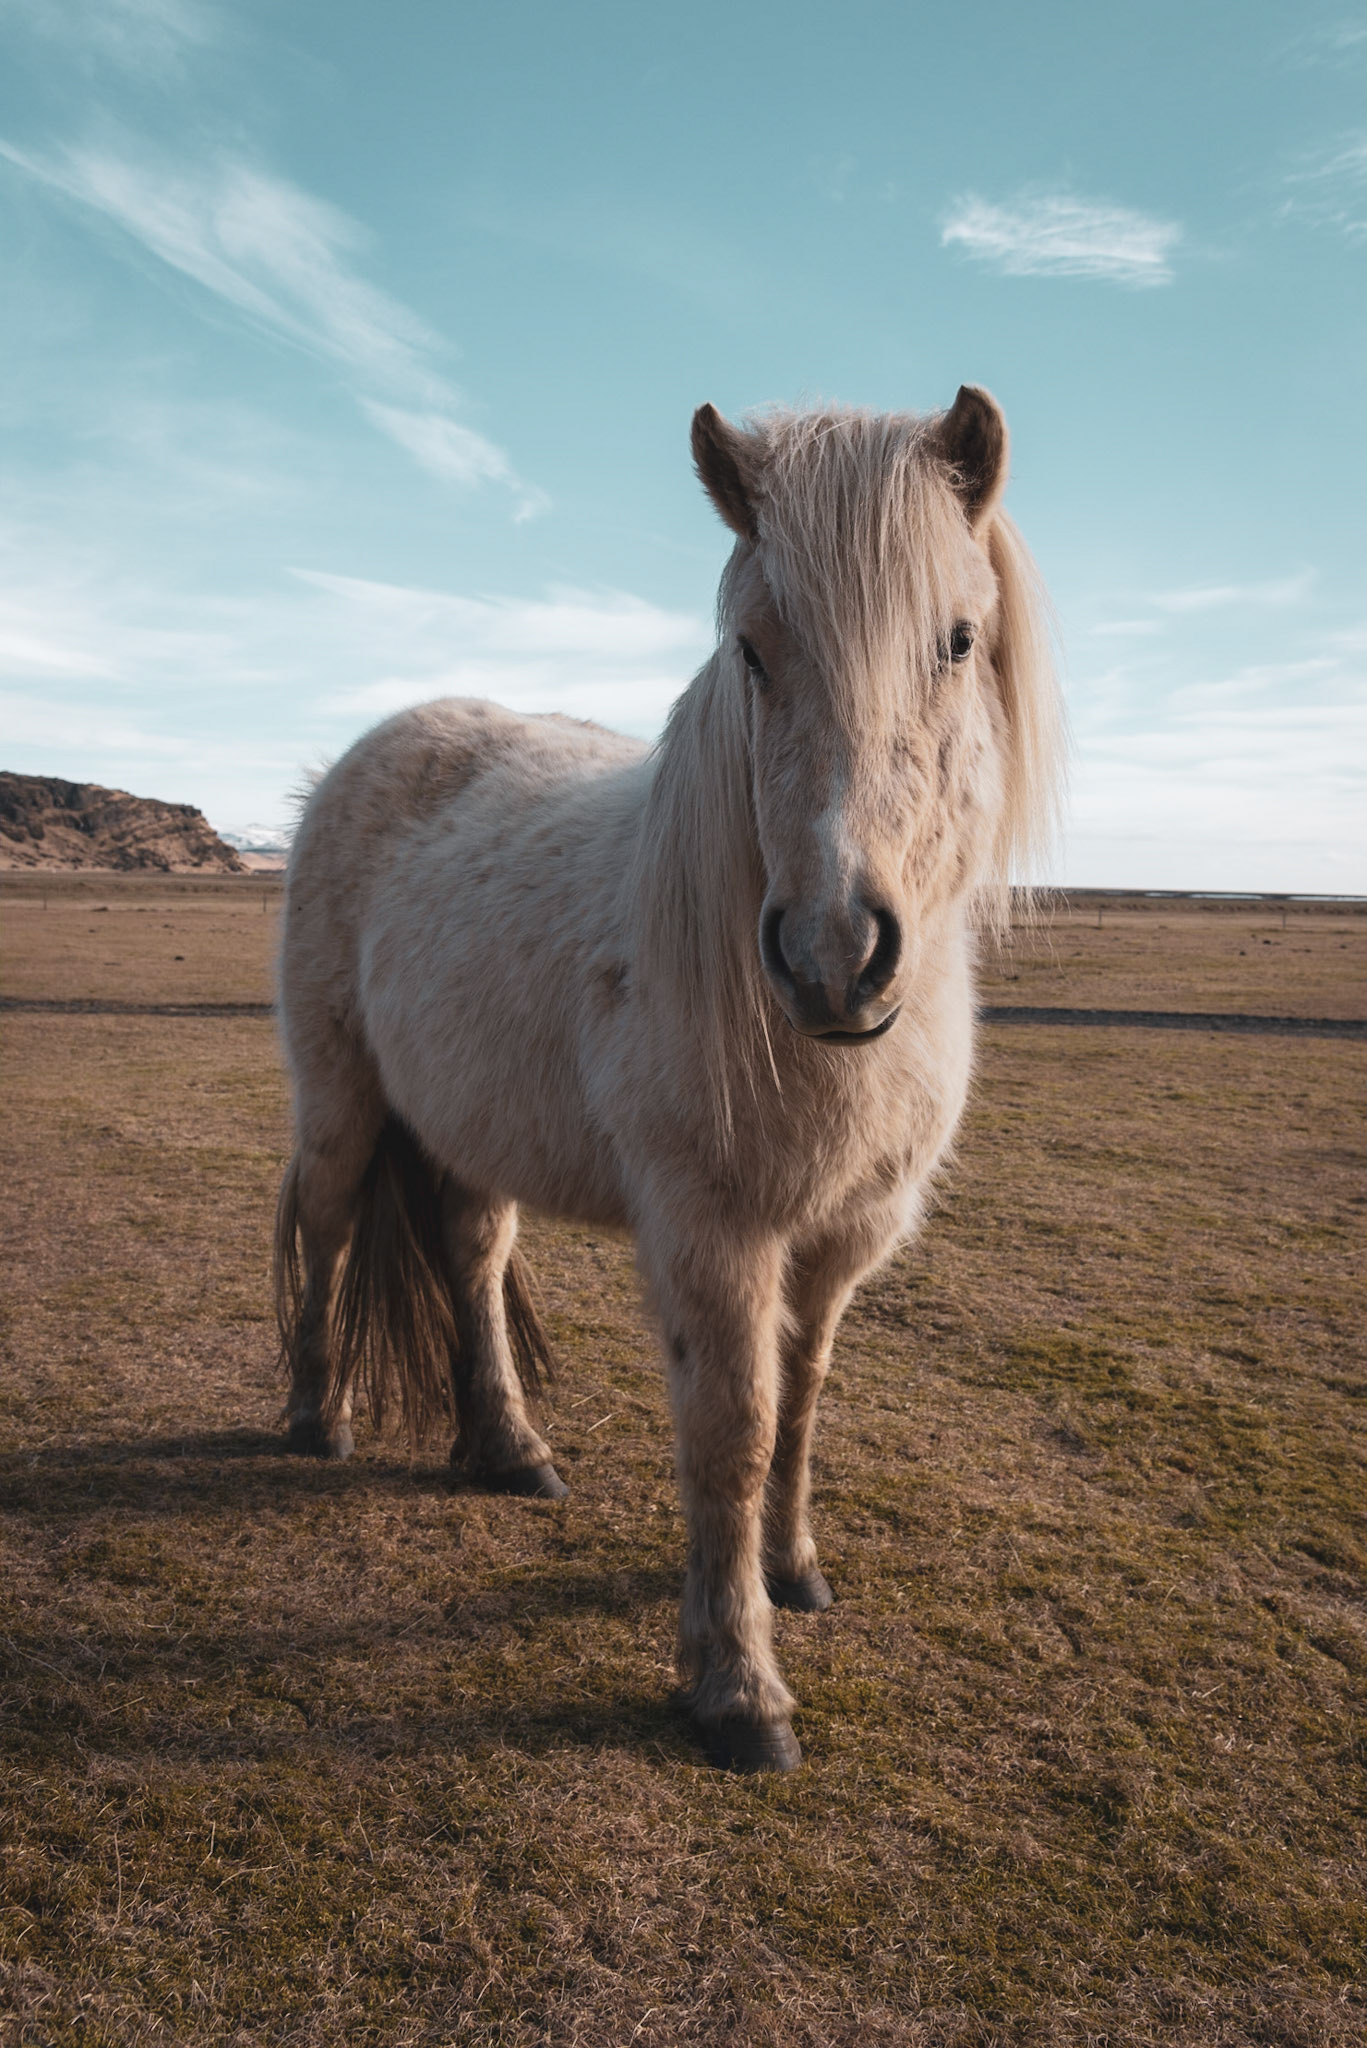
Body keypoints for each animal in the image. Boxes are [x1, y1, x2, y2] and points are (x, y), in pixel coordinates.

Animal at [273, 386, 1064, 1772]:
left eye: (958, 639)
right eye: (750, 650)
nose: (832, 954)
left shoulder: (840, 1235)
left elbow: (800, 1401)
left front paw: (792, 1571)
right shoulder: (711, 1233)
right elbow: (730, 1433)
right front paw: (737, 1686)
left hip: (470, 1128)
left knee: (469, 1255)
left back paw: (507, 1447)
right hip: (342, 1098)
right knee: (327, 1227)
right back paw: (324, 1416)